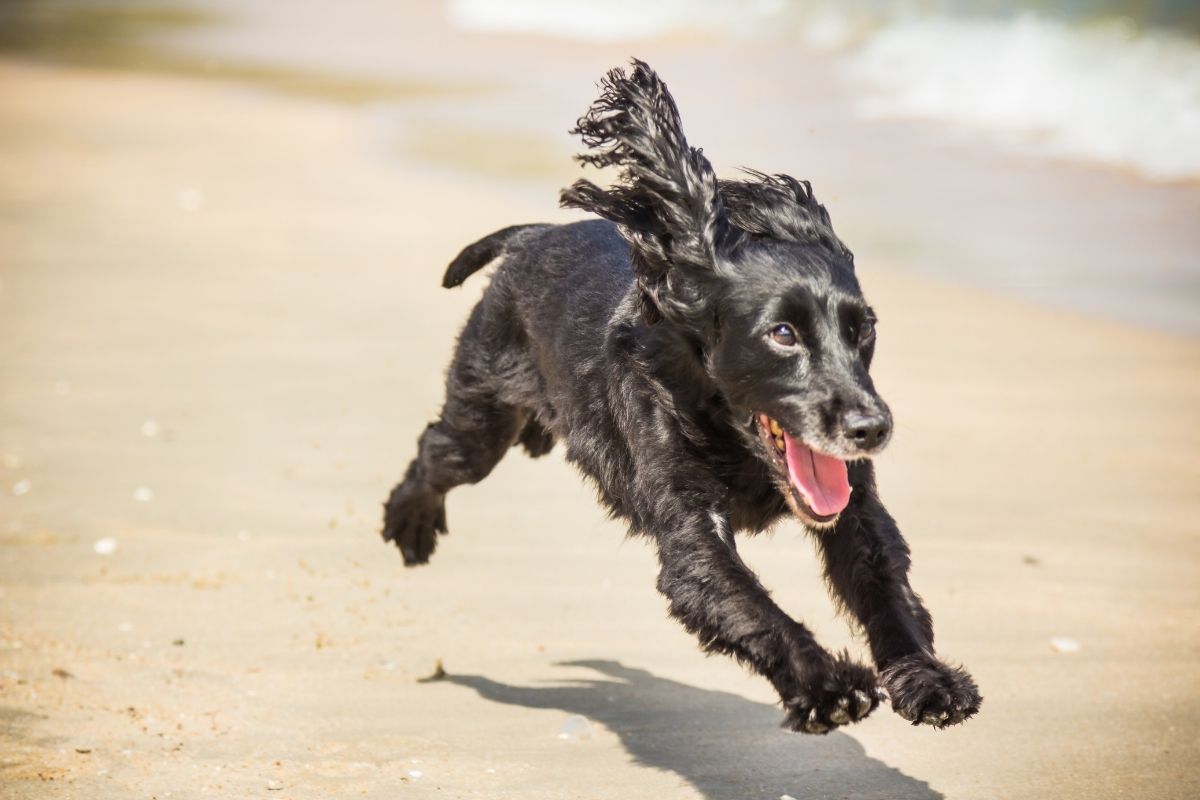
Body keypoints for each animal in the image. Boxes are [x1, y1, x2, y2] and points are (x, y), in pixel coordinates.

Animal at [384, 61, 984, 734]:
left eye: (864, 330)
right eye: (783, 333)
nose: (871, 428)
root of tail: (532, 236)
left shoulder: (856, 511)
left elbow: (888, 589)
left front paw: (929, 680)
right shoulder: (693, 535)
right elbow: (752, 607)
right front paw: (828, 687)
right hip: (482, 416)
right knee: (436, 453)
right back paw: (410, 525)